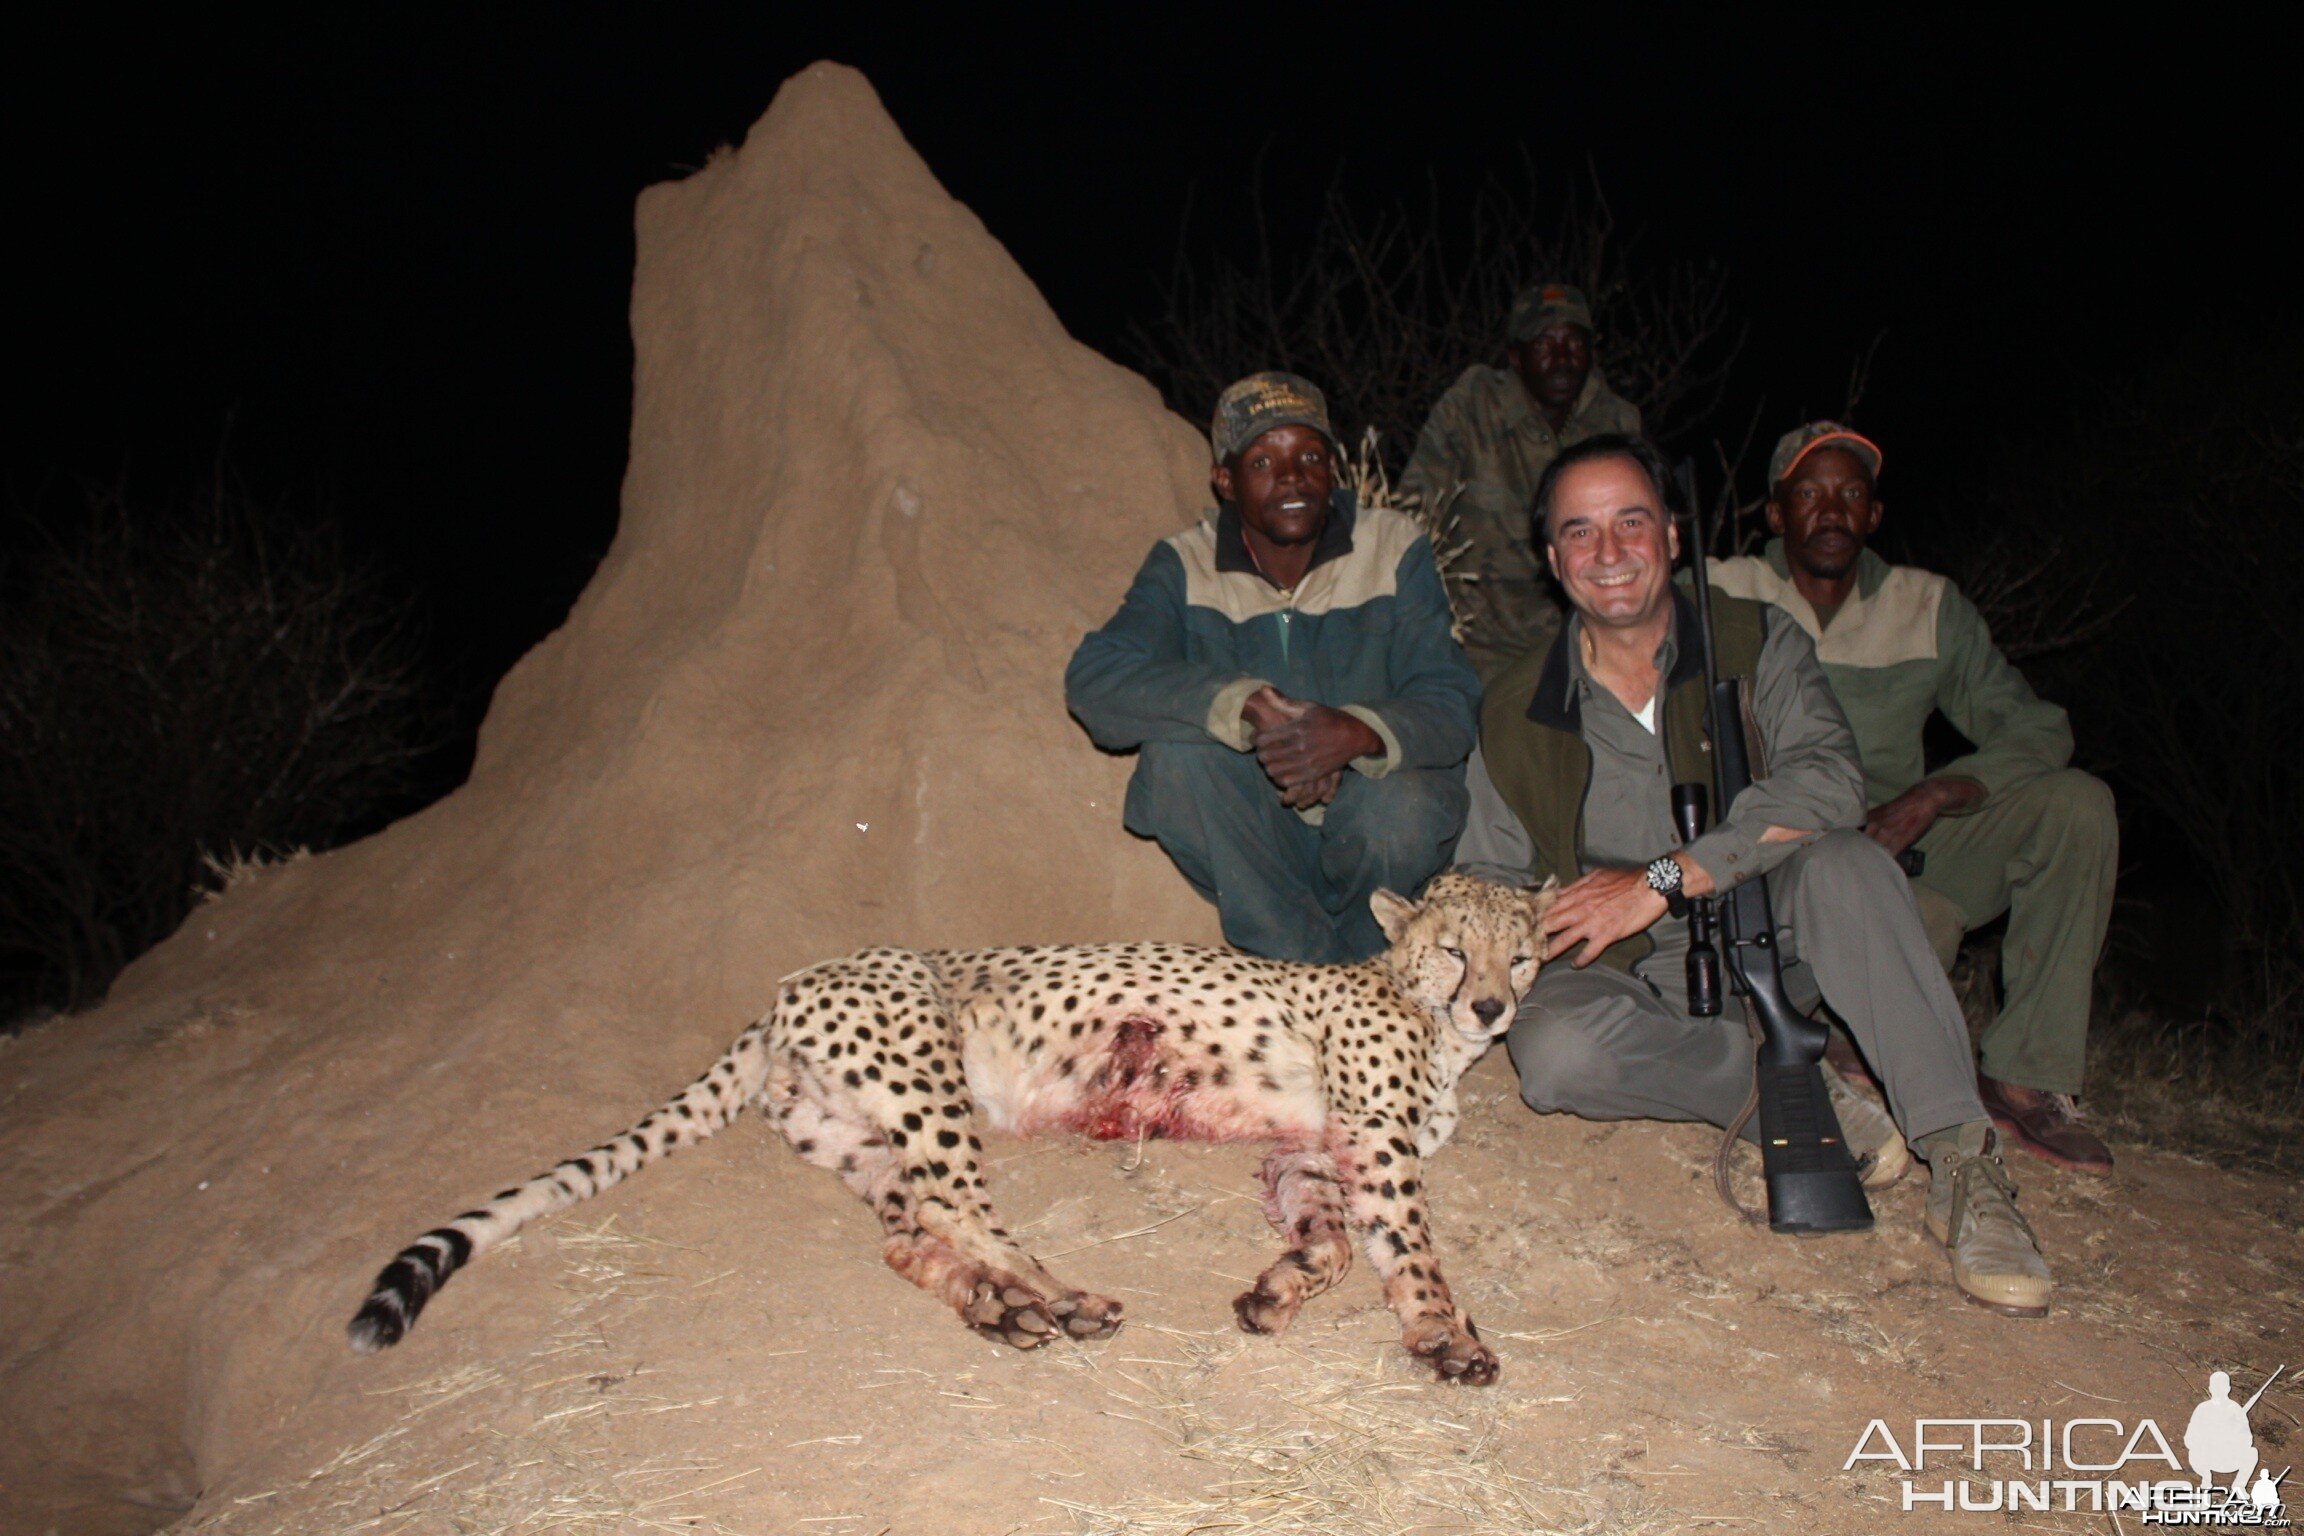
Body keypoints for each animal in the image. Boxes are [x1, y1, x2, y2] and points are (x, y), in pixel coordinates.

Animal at [345, 870, 1548, 1390]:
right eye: (1457, 951)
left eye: (1524, 953)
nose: (1495, 1008)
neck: (1420, 1011)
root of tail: (788, 984)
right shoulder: (1376, 1139)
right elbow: (1411, 1249)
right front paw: (1447, 1336)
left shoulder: (1315, 1145)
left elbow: (1333, 1240)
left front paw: (1278, 1289)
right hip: (927, 1077)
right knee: (960, 1204)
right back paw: (1058, 1297)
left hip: (855, 1131)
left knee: (904, 1227)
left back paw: (998, 1308)